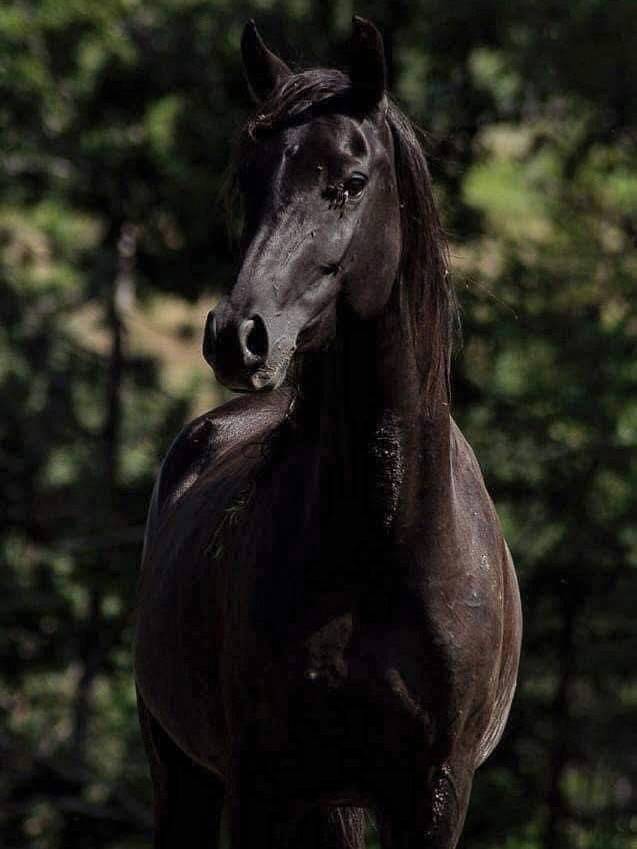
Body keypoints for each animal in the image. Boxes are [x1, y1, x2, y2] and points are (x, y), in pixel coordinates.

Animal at [135, 16, 522, 849]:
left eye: (348, 181)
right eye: (247, 182)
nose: (238, 337)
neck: (383, 542)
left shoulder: (434, 793)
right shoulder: (260, 789)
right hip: (183, 778)